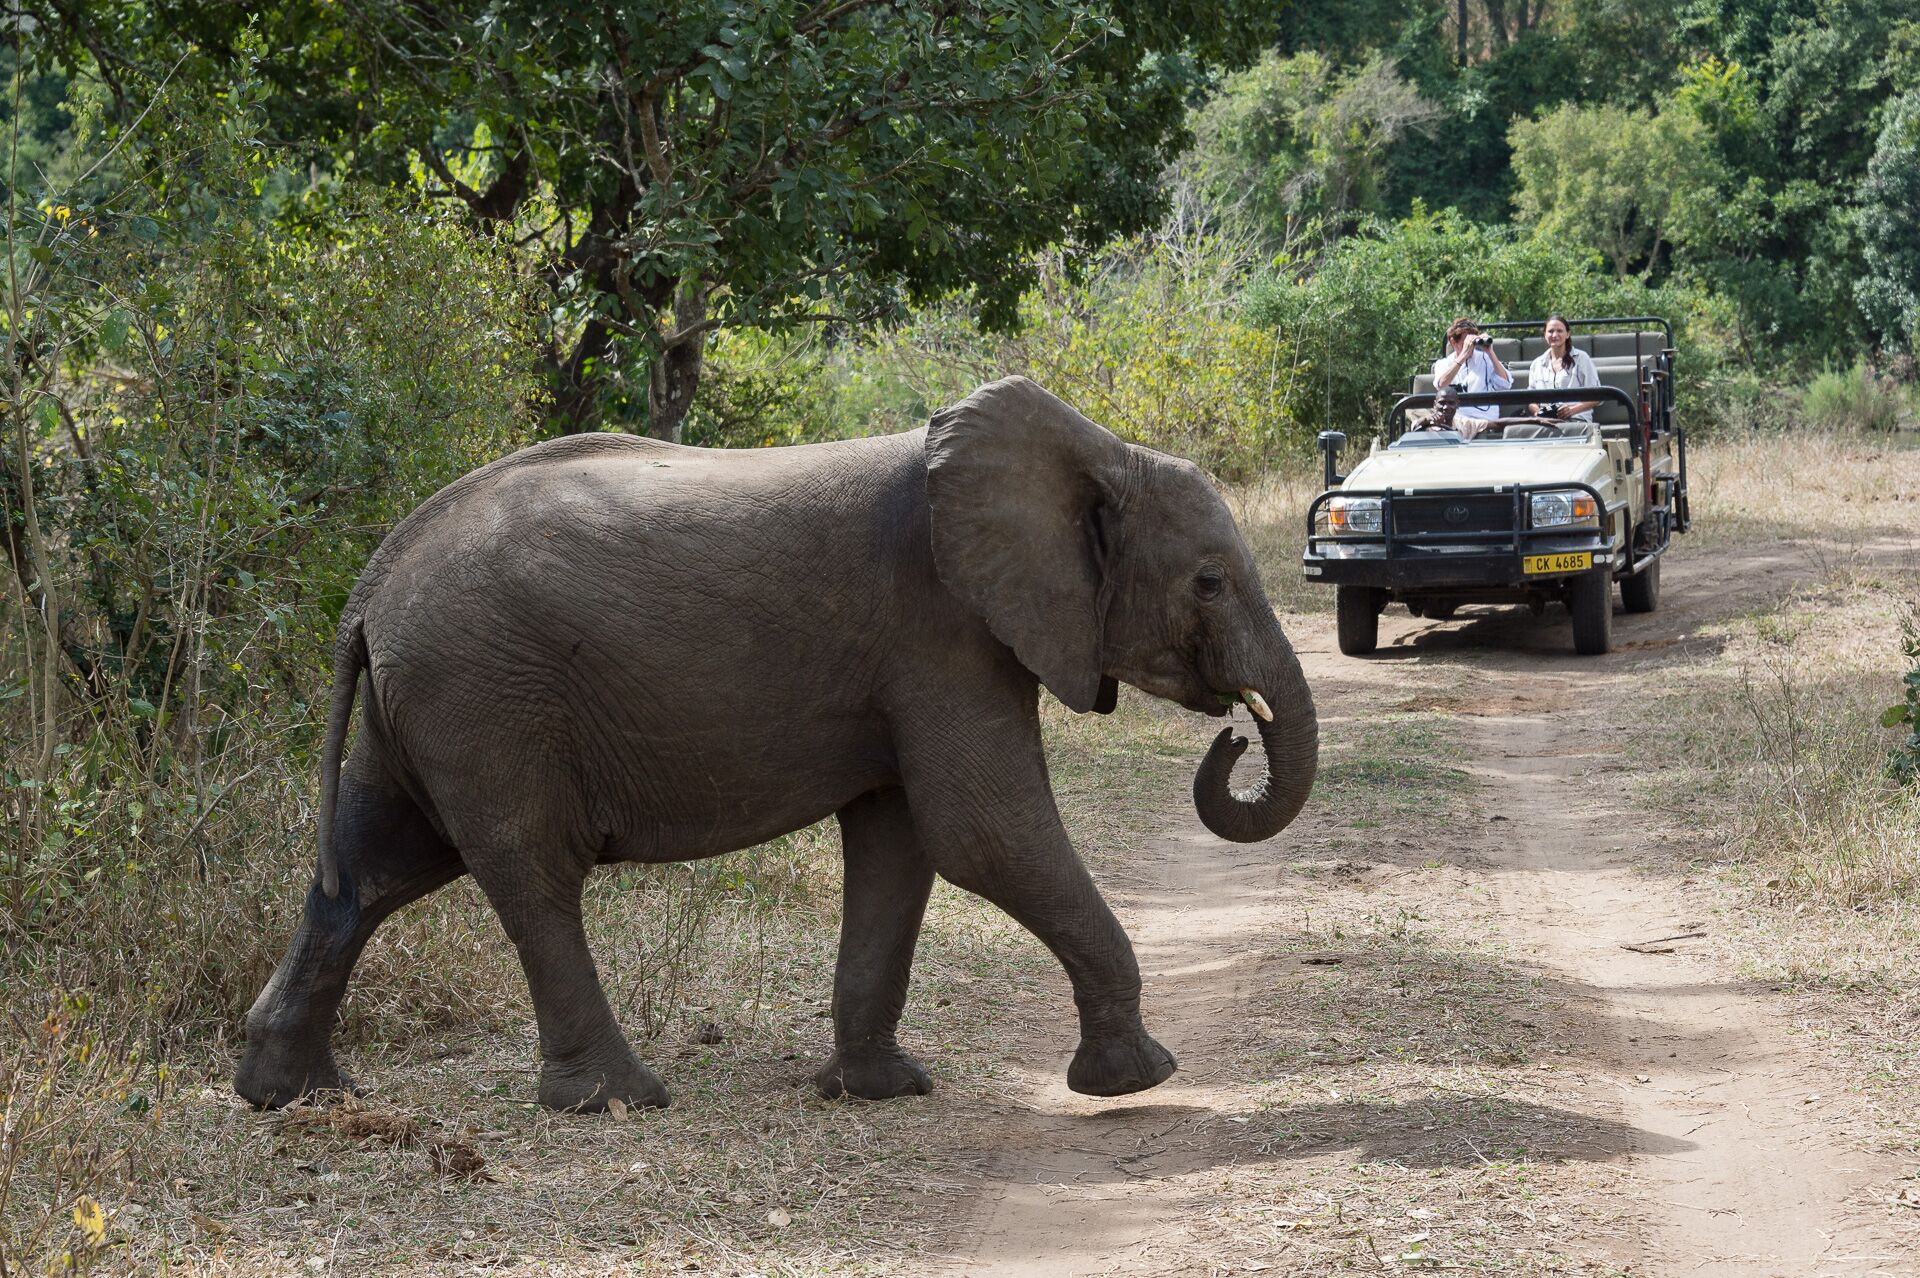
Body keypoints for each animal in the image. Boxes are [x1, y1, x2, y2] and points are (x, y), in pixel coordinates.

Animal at [234, 375, 1318, 1114]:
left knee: (371, 870)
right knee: (531, 876)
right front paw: (1137, 1080)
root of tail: (372, 585)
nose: (1235, 729)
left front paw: (881, 1090)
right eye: (1210, 582)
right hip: (485, 695)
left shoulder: (914, 657)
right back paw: (620, 1100)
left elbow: (903, 845)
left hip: (425, 704)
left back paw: (291, 1094)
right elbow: (984, 833)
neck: (1095, 451)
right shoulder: (943, 631)